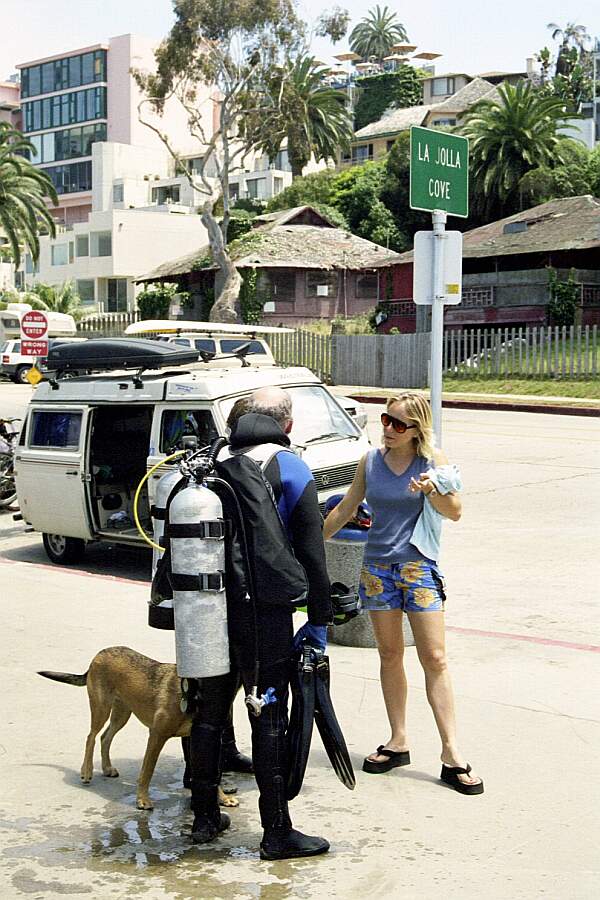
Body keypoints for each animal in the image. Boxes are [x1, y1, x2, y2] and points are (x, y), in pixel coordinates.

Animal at [37, 644, 241, 812]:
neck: (190, 694)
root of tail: (100, 653)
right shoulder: (156, 736)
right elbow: (147, 771)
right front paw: (142, 800)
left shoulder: (196, 739)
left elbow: (211, 774)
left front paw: (222, 798)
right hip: (101, 708)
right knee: (91, 736)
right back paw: (86, 771)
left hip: (122, 713)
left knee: (105, 737)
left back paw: (107, 768)